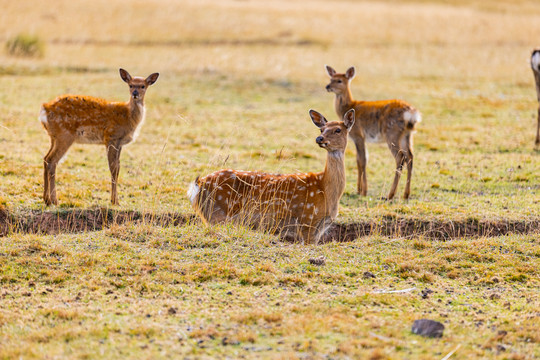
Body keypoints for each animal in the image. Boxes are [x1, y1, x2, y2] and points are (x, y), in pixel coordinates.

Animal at [39, 68, 158, 205]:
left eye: (143, 86)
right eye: (131, 85)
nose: (135, 93)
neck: (128, 117)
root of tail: (45, 109)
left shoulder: (119, 143)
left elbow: (117, 168)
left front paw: (114, 200)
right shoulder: (111, 137)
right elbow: (113, 168)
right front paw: (115, 201)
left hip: (54, 137)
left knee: (46, 158)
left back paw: (46, 199)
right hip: (64, 135)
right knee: (52, 160)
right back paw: (54, 200)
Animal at [188, 109, 356, 245]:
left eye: (338, 129)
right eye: (322, 128)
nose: (319, 138)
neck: (326, 190)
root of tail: (199, 184)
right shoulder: (307, 220)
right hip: (218, 214)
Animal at [324, 64, 422, 200]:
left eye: (339, 80)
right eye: (331, 78)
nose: (328, 86)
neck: (349, 106)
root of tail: (411, 113)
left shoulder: (358, 134)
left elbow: (362, 160)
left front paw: (363, 191)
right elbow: (358, 160)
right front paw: (359, 189)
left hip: (392, 133)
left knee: (400, 157)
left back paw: (390, 194)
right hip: (407, 135)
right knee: (410, 157)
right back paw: (406, 194)